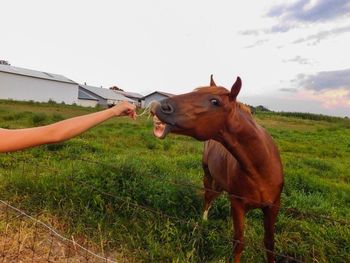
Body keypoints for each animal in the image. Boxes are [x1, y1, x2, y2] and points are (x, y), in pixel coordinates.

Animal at [150, 75, 284, 262]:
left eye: (215, 101)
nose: (158, 106)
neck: (260, 167)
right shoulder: (238, 204)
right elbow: (238, 243)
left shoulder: (273, 207)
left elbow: (270, 243)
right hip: (208, 175)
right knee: (208, 197)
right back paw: (204, 220)